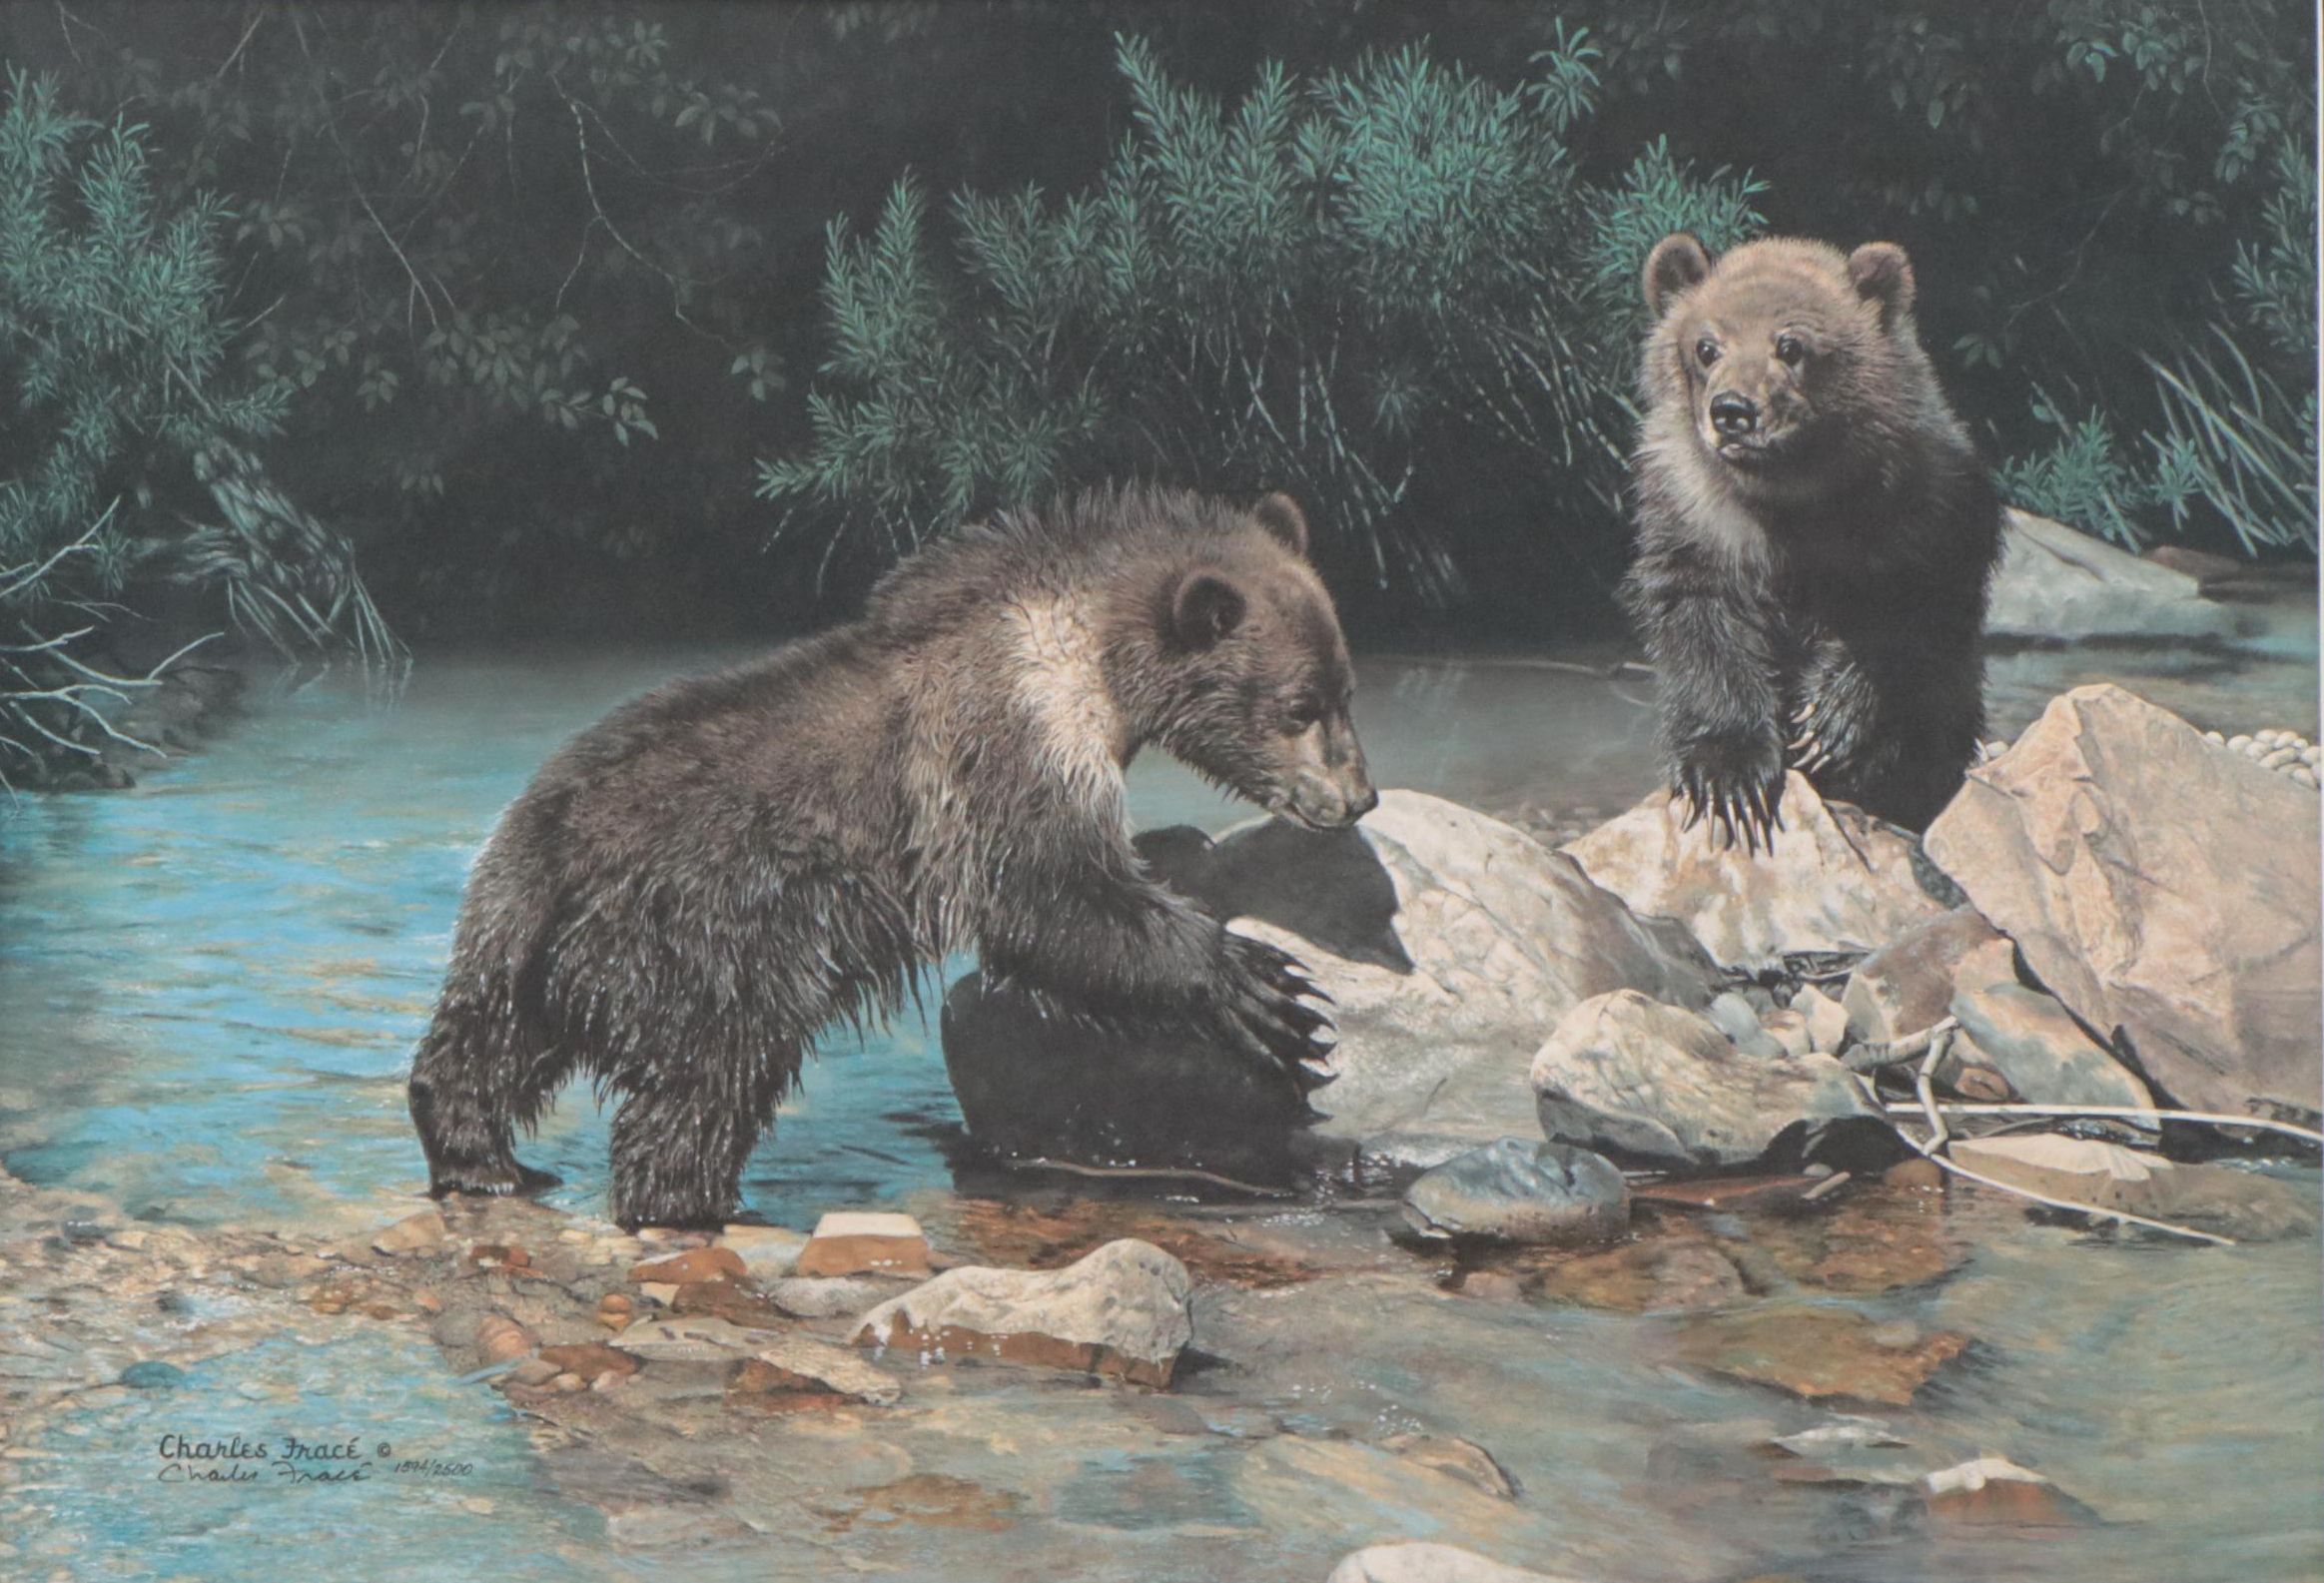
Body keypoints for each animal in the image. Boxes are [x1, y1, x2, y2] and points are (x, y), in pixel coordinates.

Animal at [406, 486, 1375, 1230]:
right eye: (1298, 706)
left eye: (1344, 688)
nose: (1356, 795)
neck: (1085, 658)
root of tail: (548, 845)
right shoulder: (1003, 745)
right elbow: (1047, 895)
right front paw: (1267, 990)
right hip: (710, 934)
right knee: (711, 1075)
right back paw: (699, 1202)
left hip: (520, 940)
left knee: (483, 1049)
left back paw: (485, 1161)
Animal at [1621, 233, 2005, 845]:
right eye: (1706, 346)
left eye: (1791, 343)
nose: (1733, 411)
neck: (1794, 495)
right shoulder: (1695, 517)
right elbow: (1701, 623)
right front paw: (1727, 774)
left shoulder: (1928, 507)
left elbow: (1918, 612)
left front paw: (1831, 721)